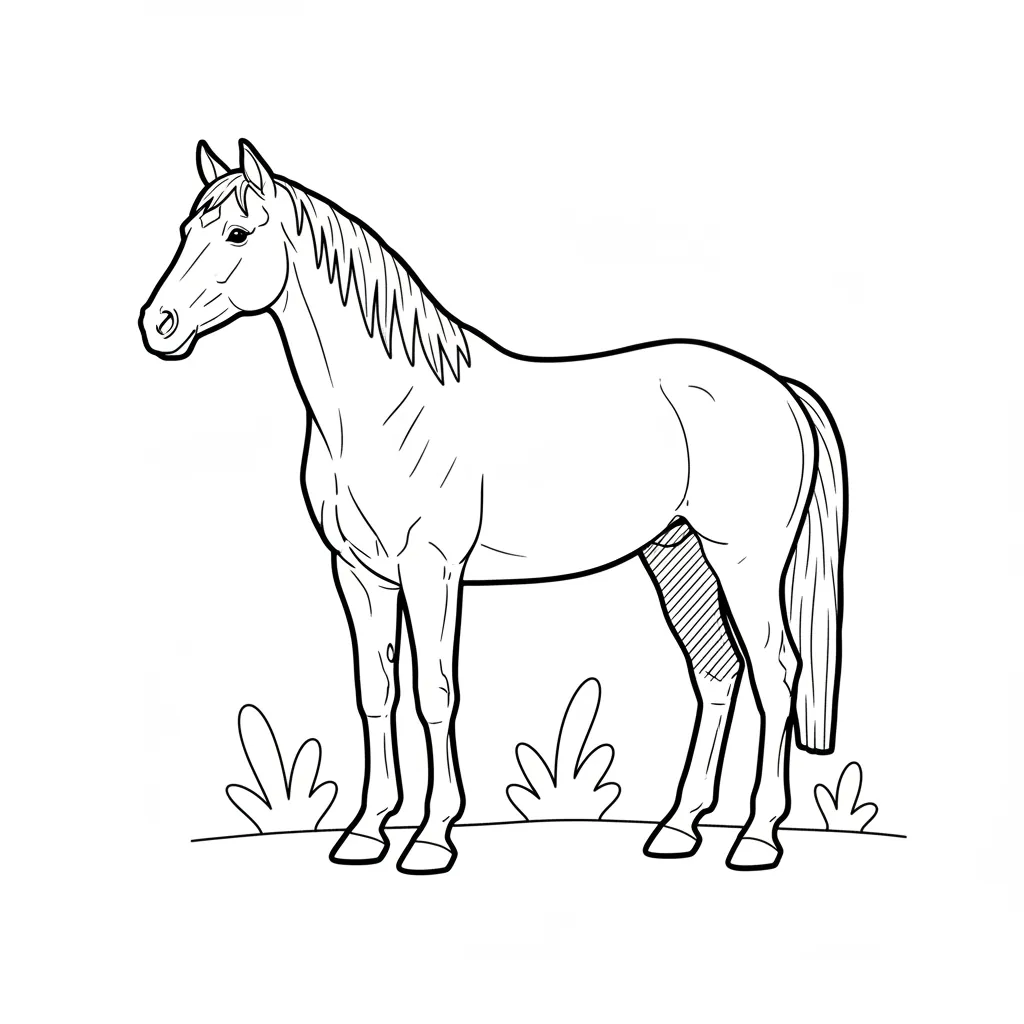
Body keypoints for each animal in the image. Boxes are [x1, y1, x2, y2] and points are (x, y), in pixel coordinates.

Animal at [140, 139, 848, 874]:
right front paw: (365, 832)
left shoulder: (432, 569)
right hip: (676, 553)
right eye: (185, 230)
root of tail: (779, 388)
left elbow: (435, 693)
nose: (157, 327)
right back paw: (677, 828)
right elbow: (375, 692)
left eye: (238, 233)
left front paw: (430, 837)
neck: (382, 408)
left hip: (743, 560)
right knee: (716, 671)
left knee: (777, 671)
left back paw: (757, 837)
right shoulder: (360, 574)